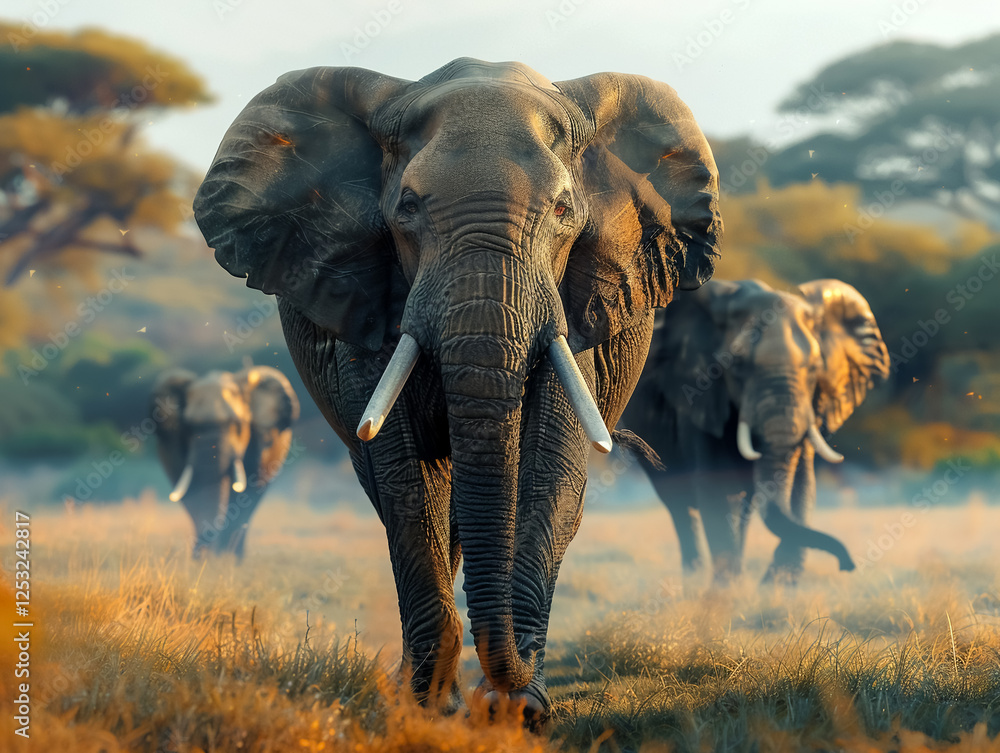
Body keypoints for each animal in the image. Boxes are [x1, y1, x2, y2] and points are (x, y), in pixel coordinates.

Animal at [151, 365, 300, 559]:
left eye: (237, 425)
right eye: (189, 427)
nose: (205, 553)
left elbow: (245, 496)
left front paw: (226, 559)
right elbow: (191, 494)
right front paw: (203, 558)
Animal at [192, 58, 723, 721]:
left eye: (563, 209)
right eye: (408, 206)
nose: (490, 693)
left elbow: (552, 463)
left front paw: (519, 709)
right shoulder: (369, 295)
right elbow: (402, 479)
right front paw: (426, 704)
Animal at [622, 278, 890, 585]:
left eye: (814, 369)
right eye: (737, 365)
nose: (847, 566)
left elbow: (801, 487)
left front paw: (776, 587)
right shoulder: (699, 398)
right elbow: (716, 490)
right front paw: (730, 590)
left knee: (742, 508)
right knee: (678, 503)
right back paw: (696, 579)